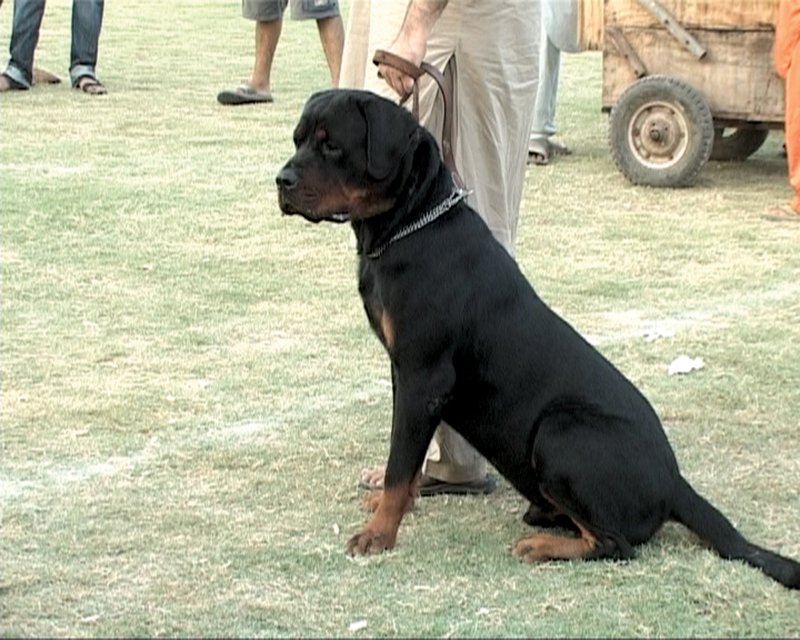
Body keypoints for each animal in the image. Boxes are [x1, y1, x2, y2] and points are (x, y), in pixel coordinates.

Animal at [276, 90, 800, 592]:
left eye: (331, 144)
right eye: (298, 139)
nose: (281, 180)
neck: (408, 226)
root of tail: (675, 483)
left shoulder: (423, 376)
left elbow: (400, 461)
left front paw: (380, 534)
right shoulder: (402, 372)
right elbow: (405, 457)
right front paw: (396, 505)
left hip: (559, 431)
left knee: (617, 544)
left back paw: (543, 545)